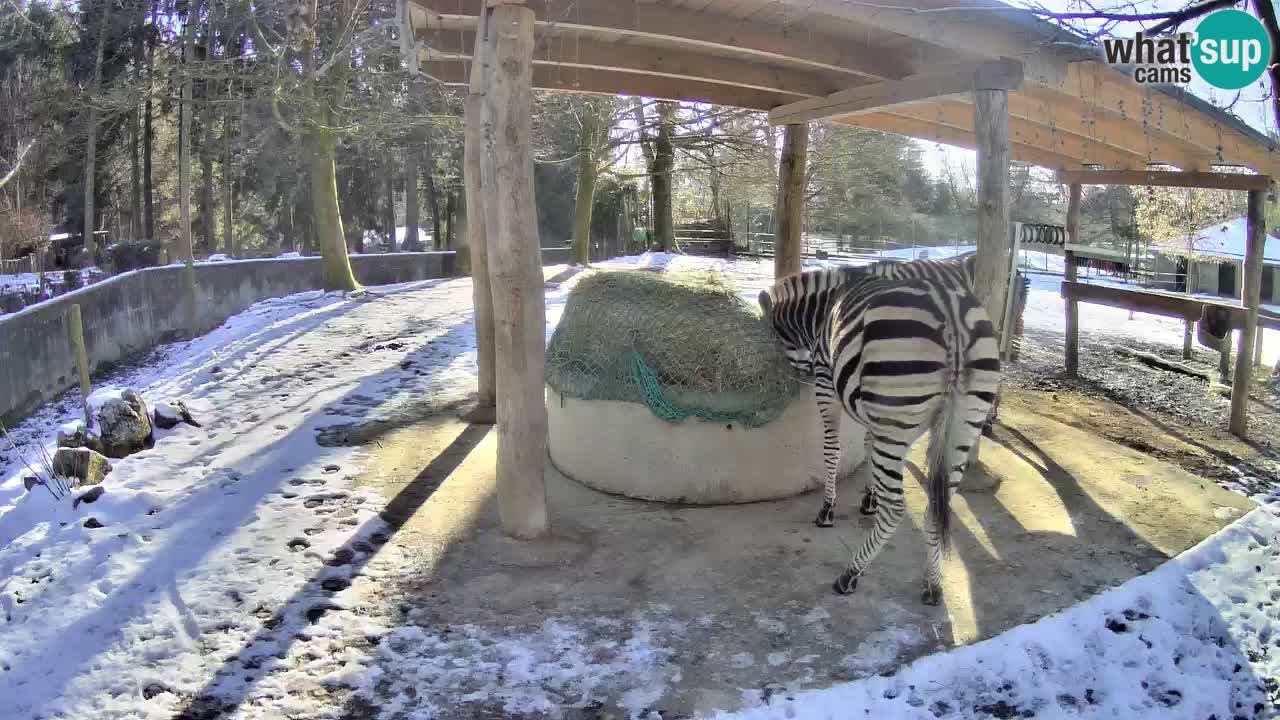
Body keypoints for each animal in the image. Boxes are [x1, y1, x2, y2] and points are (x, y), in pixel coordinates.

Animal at [752, 263, 1003, 599]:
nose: (800, 375)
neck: (822, 310)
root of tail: (951, 313)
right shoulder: (873, 412)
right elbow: (869, 446)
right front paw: (869, 499)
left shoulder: (826, 381)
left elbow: (832, 450)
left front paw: (828, 509)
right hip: (963, 424)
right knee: (937, 506)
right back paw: (933, 584)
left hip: (897, 413)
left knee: (896, 509)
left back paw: (850, 574)